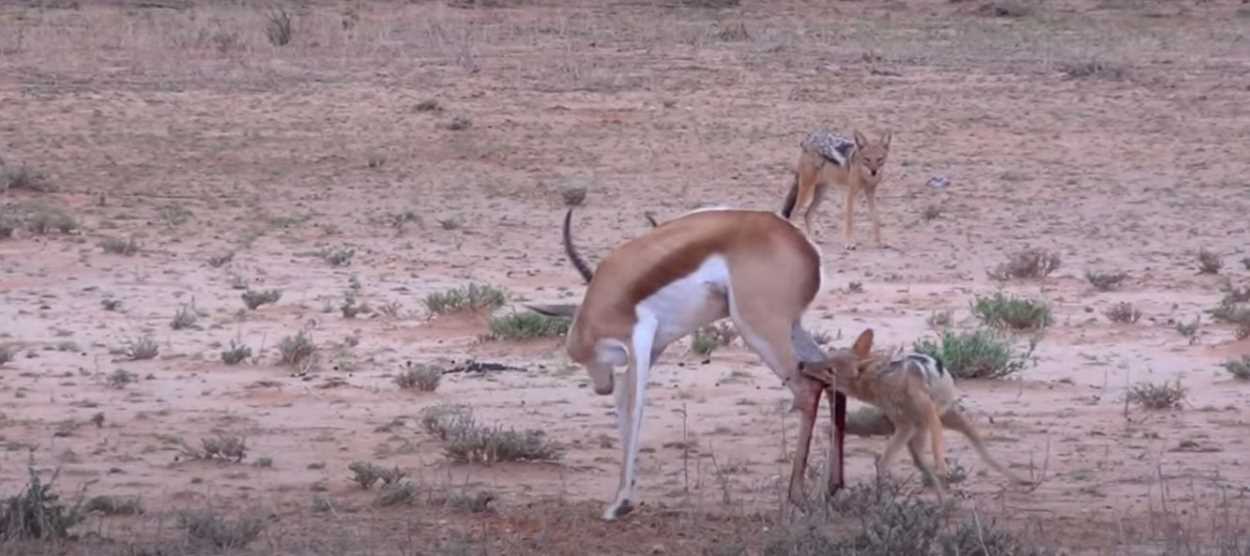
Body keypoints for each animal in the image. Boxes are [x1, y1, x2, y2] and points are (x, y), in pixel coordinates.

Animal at [527, 206, 850, 517]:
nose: (600, 388)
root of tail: (806, 246)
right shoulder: (654, 347)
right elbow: (624, 402)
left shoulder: (639, 337)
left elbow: (632, 406)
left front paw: (620, 503)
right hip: (791, 327)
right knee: (832, 375)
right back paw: (830, 489)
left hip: (759, 330)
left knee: (807, 389)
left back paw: (797, 496)